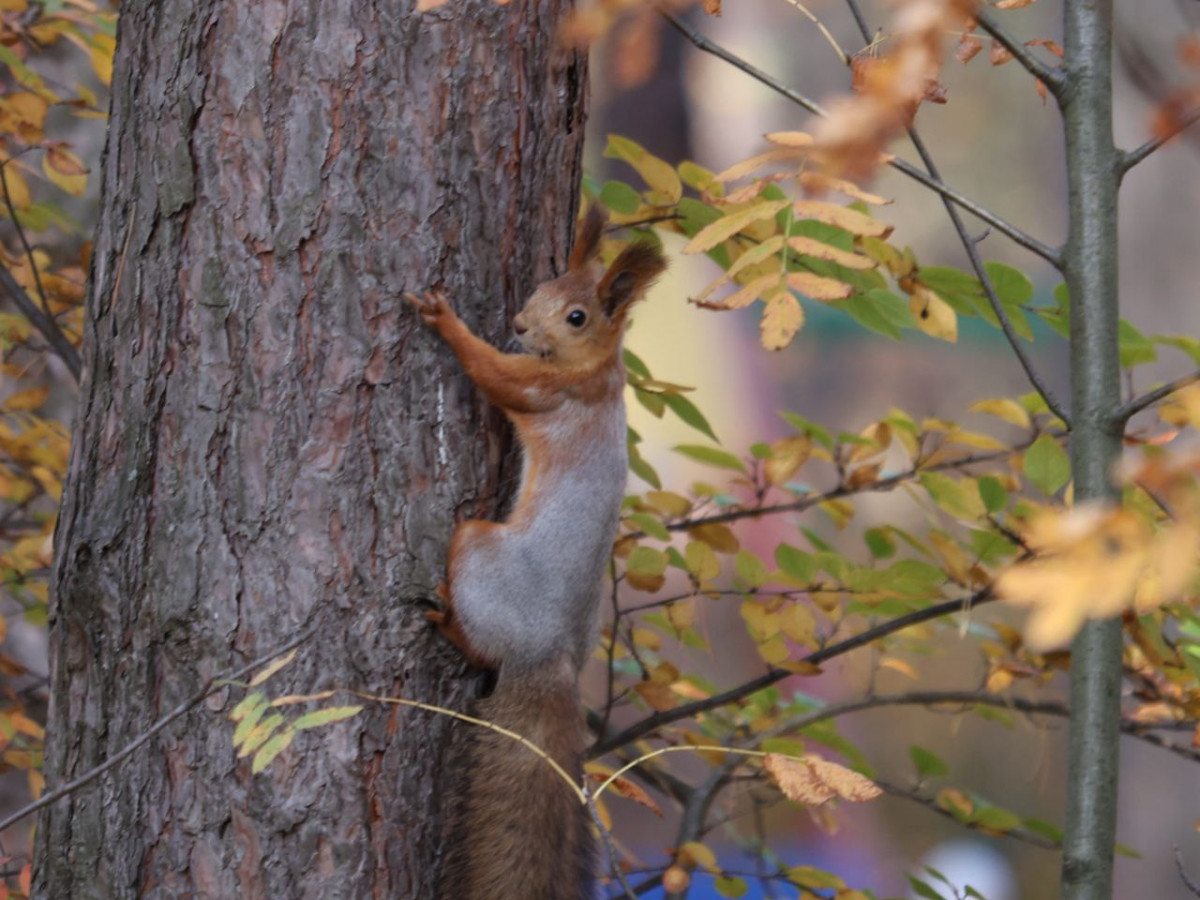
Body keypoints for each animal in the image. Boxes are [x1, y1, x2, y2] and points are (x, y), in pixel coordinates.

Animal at [403, 207, 667, 900]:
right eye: (542, 285)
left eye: (577, 316)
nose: (521, 325)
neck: (598, 371)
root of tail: (551, 660)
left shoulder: (546, 391)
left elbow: (490, 370)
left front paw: (444, 319)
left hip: (478, 547)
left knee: (479, 638)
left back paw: (449, 622)